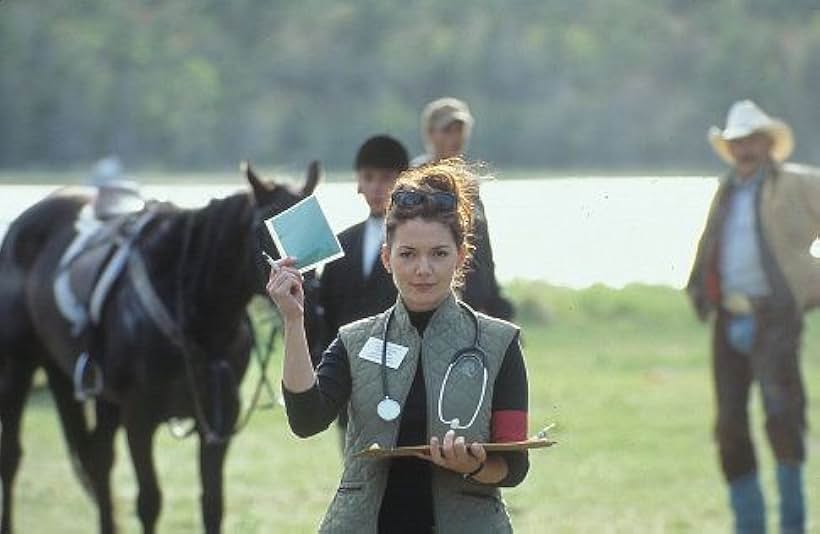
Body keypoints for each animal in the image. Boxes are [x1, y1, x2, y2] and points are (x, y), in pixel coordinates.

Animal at [0, 164, 320, 534]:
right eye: (264, 228)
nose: (311, 306)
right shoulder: (139, 415)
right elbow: (149, 501)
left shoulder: (219, 419)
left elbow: (213, 502)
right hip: (18, 366)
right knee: (12, 457)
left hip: (97, 395)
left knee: (98, 461)